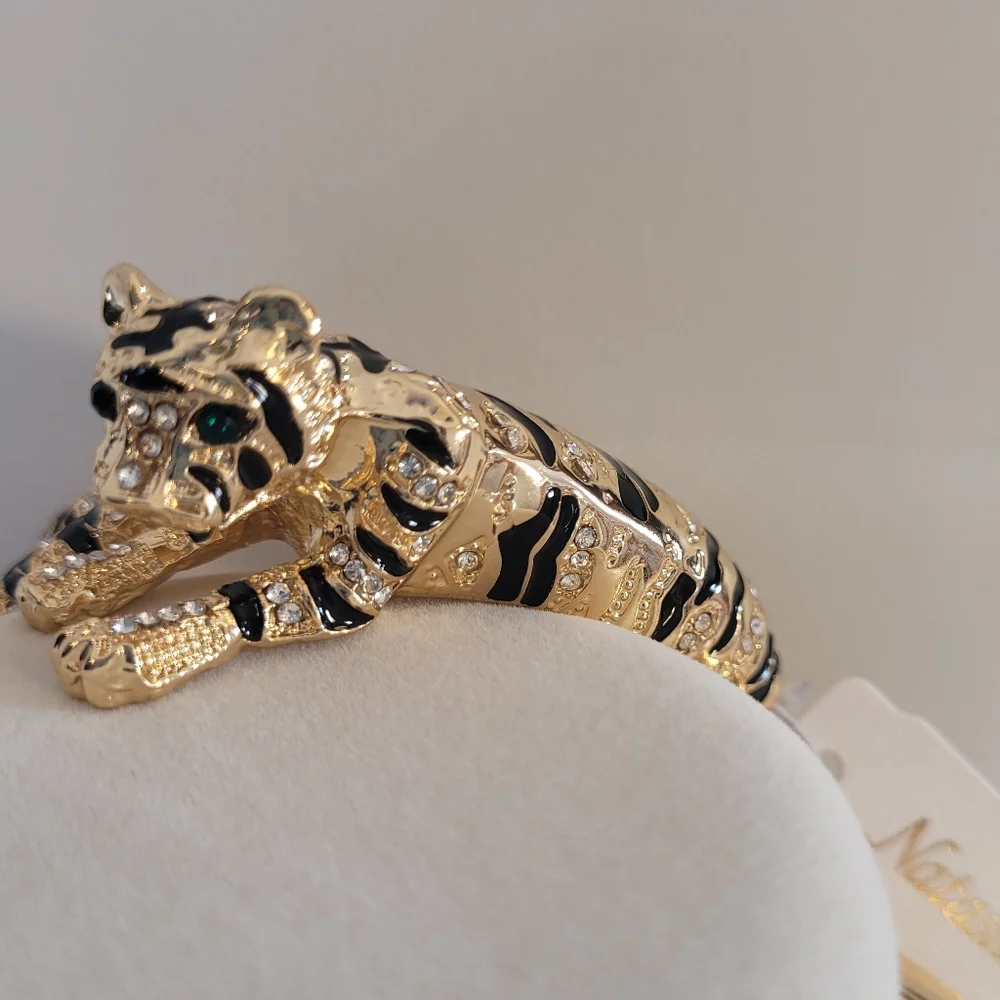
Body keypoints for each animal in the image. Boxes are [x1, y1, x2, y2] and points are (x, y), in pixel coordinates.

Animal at [1, 264, 781, 708]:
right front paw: (58, 579)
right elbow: (162, 547)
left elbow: (240, 602)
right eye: (105, 403)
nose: (120, 492)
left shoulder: (349, 575)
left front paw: (113, 644)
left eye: (219, 418)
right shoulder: (243, 506)